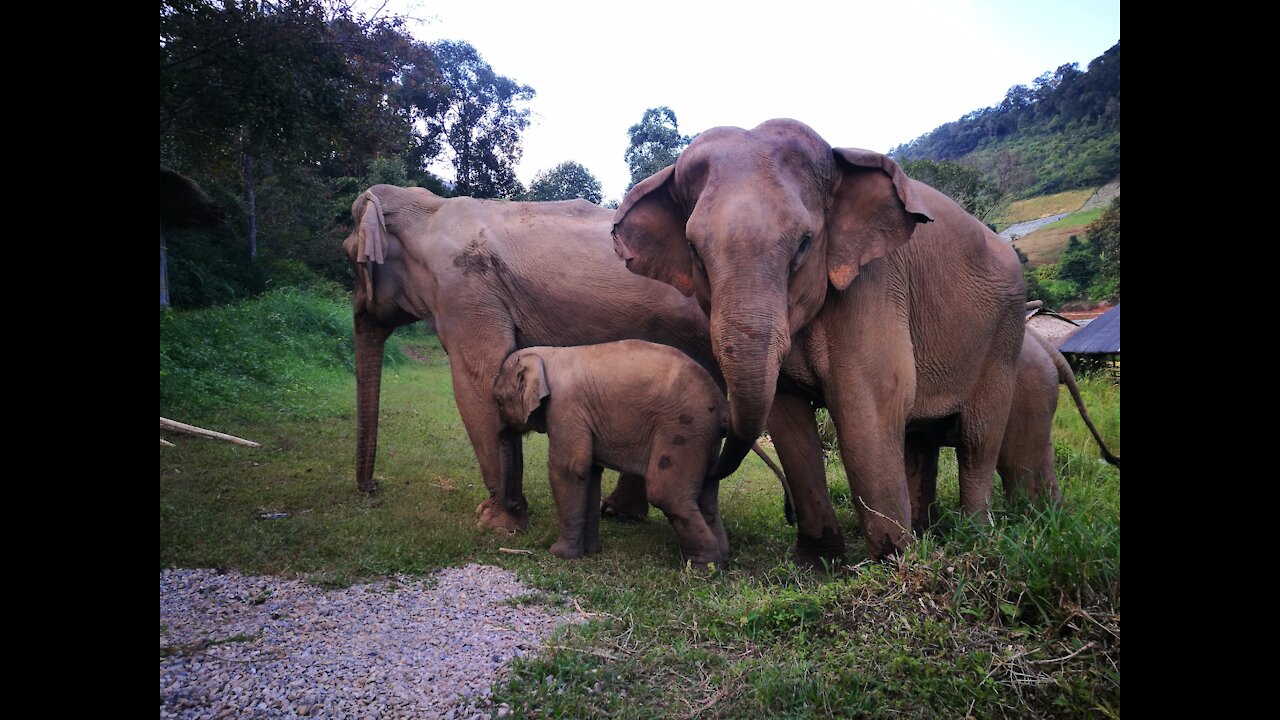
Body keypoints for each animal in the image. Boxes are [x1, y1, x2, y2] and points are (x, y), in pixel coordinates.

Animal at [343, 184, 721, 532]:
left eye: (349, 255)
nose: (371, 487)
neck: (429, 209)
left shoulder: (465, 290)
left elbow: (478, 386)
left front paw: (495, 522)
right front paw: (510, 514)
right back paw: (617, 512)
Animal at [491, 338, 732, 563]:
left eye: (499, 401)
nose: (515, 505)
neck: (546, 355)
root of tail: (722, 406)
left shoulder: (565, 407)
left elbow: (570, 468)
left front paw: (560, 554)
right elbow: (590, 472)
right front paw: (590, 552)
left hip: (684, 428)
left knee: (666, 493)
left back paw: (703, 566)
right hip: (704, 439)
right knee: (706, 497)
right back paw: (721, 558)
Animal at [614, 117, 1024, 561]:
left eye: (804, 244)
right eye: (694, 250)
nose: (787, 512)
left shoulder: (874, 285)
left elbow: (869, 409)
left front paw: (894, 559)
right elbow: (787, 421)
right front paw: (819, 560)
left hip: (1004, 333)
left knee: (977, 437)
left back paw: (975, 537)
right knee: (922, 440)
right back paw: (927, 531)